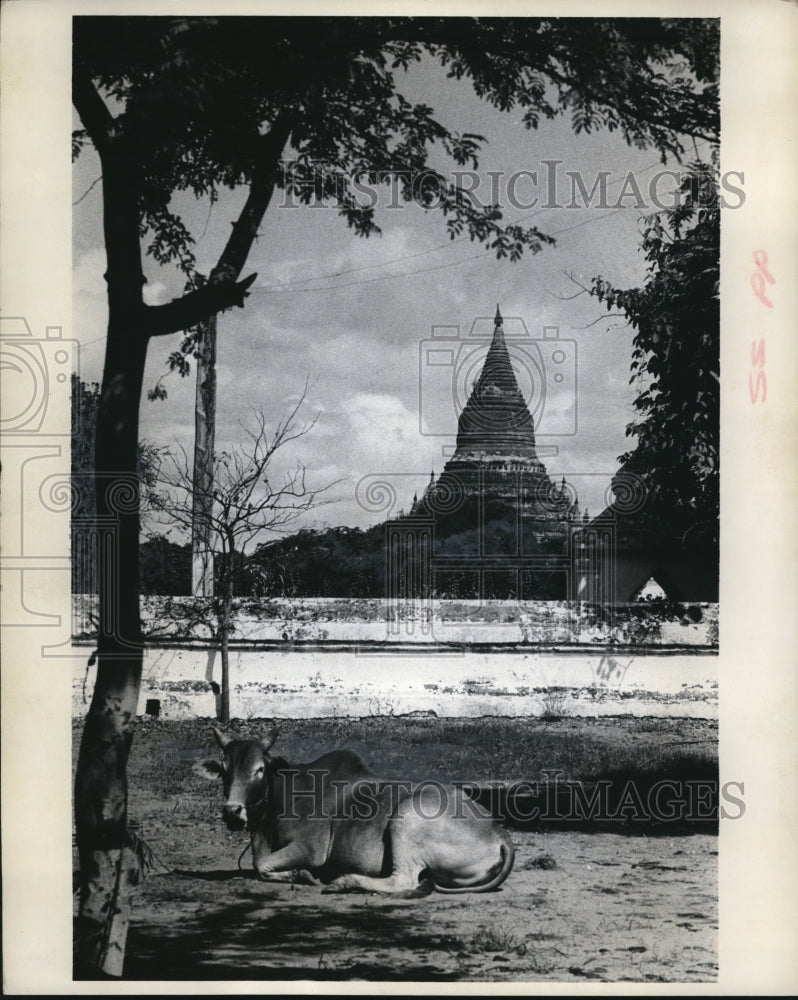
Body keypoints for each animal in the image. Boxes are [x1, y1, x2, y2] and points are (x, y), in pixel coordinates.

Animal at [194, 725, 515, 896]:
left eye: (259, 769)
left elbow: (261, 865)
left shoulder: (312, 848)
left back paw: (343, 881)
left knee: (403, 880)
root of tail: (500, 833)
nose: (232, 811)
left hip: (406, 819)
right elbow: (259, 865)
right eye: (224, 770)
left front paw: (305, 875)